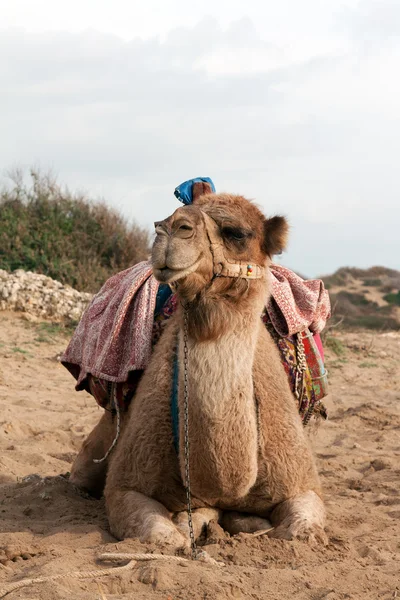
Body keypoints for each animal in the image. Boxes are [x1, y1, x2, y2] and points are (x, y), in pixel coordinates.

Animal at [69, 183, 324, 548]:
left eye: (236, 232)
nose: (171, 227)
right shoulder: (125, 485)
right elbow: (166, 539)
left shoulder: (302, 482)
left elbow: (298, 532)